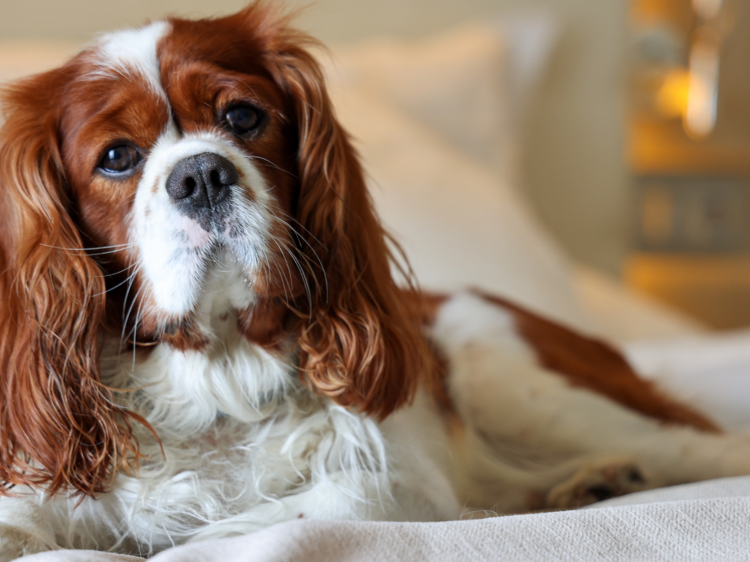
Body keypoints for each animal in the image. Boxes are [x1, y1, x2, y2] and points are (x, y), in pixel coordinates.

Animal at [1, 3, 750, 556]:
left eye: (242, 115)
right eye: (117, 157)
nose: (202, 175)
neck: (217, 377)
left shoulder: (401, 487)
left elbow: (294, 513)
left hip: (502, 367)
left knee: (707, 447)